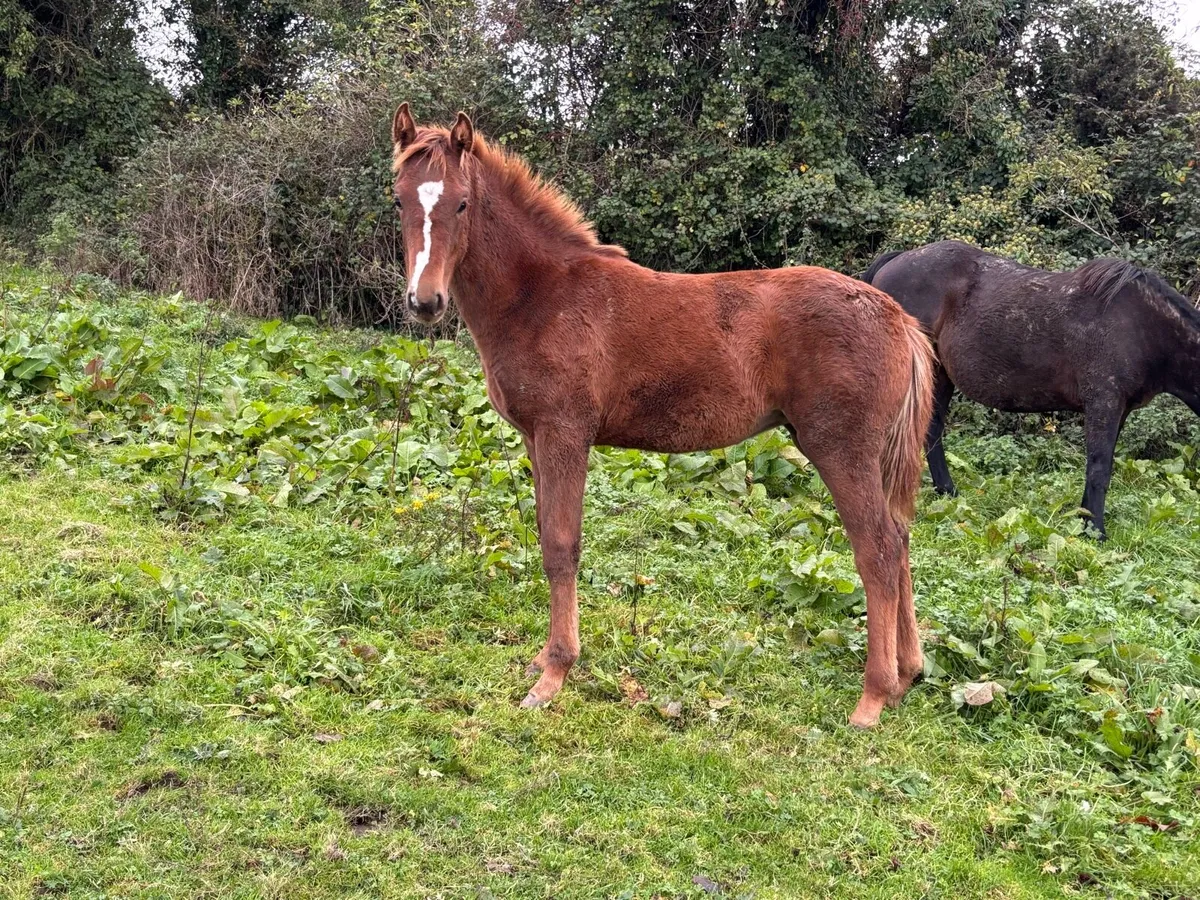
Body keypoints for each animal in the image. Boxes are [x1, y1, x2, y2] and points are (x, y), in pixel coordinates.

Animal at [390, 104, 934, 728]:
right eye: (399, 200)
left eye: (461, 203)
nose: (424, 302)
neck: (540, 296)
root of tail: (898, 318)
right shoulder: (535, 439)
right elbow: (548, 538)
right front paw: (543, 660)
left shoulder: (564, 434)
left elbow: (561, 546)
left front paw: (554, 675)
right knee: (901, 540)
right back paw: (908, 675)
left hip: (840, 448)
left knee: (878, 549)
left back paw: (873, 697)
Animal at [863, 240, 1200, 538]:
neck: (1142, 328)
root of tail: (894, 261)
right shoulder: (1104, 403)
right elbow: (1099, 467)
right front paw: (1095, 531)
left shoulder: (1119, 410)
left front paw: (1083, 518)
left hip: (940, 375)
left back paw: (947, 491)